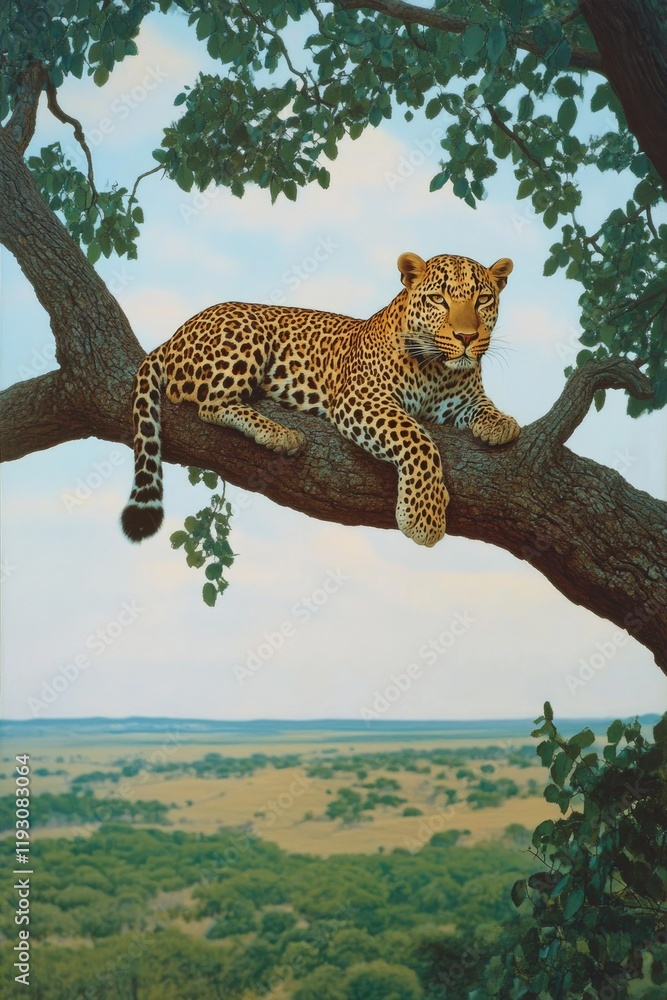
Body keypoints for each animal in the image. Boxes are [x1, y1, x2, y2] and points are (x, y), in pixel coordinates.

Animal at [121, 252, 520, 548]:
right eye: (439, 299)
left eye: (483, 300)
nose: (467, 337)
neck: (439, 370)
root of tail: (174, 335)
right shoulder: (361, 397)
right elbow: (416, 437)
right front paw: (424, 516)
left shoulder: (463, 398)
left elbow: (483, 405)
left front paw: (503, 423)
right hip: (247, 333)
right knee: (210, 404)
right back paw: (280, 434)